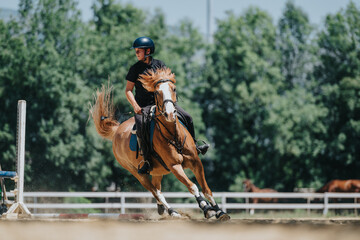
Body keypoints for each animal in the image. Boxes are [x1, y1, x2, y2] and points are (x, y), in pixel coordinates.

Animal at [90, 67, 231, 221]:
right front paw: (207, 209)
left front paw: (220, 211)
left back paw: (162, 209)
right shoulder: (175, 166)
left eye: (174, 89)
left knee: (157, 188)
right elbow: (192, 186)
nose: (169, 114)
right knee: (156, 192)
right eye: (157, 92)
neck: (173, 136)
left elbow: (206, 189)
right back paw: (172, 211)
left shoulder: (195, 162)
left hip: (158, 171)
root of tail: (117, 131)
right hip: (138, 173)